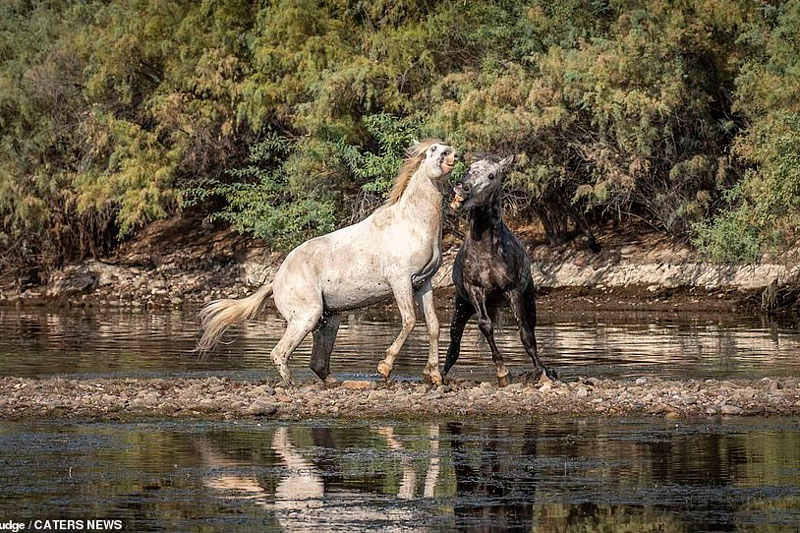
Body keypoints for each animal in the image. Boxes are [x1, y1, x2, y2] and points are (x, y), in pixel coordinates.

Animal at [198, 139, 460, 384]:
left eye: (445, 147)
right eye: (433, 150)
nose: (452, 154)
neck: (411, 224)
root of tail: (275, 283)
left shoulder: (423, 283)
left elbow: (433, 325)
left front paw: (433, 375)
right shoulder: (400, 280)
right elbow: (409, 321)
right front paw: (385, 367)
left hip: (329, 319)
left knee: (317, 363)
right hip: (306, 316)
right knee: (279, 353)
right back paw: (292, 384)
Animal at [444, 156, 556, 384]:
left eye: (491, 175)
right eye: (470, 168)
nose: (463, 187)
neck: (486, 251)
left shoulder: (512, 291)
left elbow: (525, 334)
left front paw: (543, 372)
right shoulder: (474, 289)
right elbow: (485, 325)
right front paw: (502, 372)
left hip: (528, 299)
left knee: (531, 329)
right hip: (462, 307)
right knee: (454, 347)